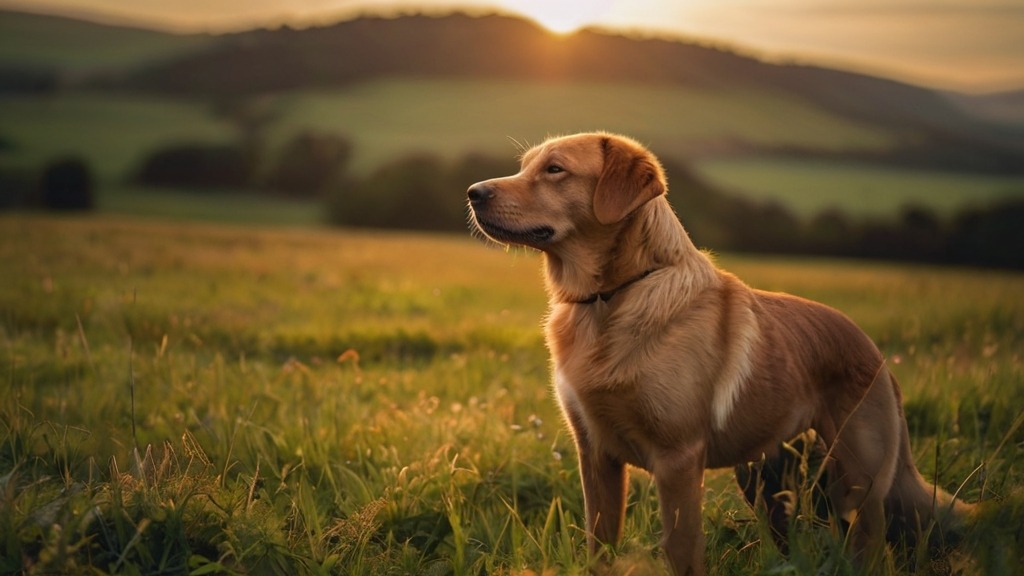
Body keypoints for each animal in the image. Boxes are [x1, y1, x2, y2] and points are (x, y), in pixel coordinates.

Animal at [468, 132, 970, 569]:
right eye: (524, 166)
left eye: (555, 169)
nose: (473, 192)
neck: (611, 298)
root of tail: (876, 353)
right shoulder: (595, 455)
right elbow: (600, 547)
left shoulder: (677, 459)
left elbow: (682, 551)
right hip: (768, 480)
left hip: (857, 484)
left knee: (871, 548)